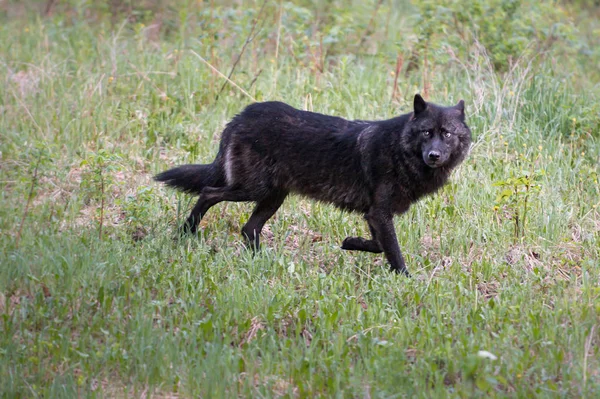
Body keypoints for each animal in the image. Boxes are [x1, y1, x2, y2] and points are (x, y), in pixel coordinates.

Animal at [156, 95, 474, 276]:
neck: (399, 150)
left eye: (446, 134)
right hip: (252, 190)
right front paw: (406, 280)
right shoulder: (379, 213)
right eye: (426, 133)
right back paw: (186, 232)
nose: (434, 156)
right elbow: (393, 251)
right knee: (209, 193)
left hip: (272, 198)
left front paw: (350, 243)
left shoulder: (374, 214)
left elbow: (378, 246)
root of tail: (239, 117)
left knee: (248, 229)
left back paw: (262, 262)